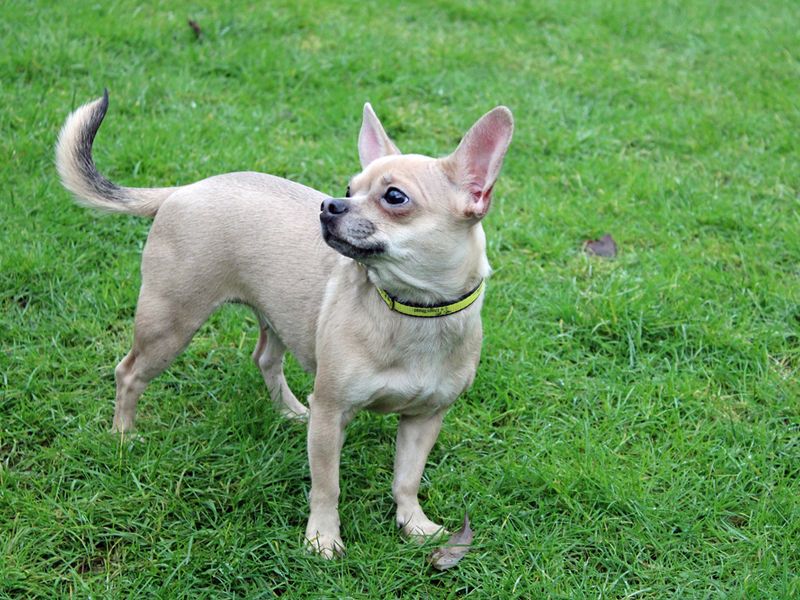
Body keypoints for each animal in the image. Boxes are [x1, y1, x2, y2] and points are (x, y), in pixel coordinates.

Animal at [56, 92, 512, 556]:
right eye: (349, 190)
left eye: (395, 197)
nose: (329, 205)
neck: (410, 308)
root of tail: (185, 189)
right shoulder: (331, 414)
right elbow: (327, 485)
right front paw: (323, 538)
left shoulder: (424, 420)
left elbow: (407, 478)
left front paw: (413, 523)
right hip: (169, 325)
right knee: (128, 373)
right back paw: (123, 435)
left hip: (273, 318)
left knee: (264, 358)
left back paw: (290, 410)